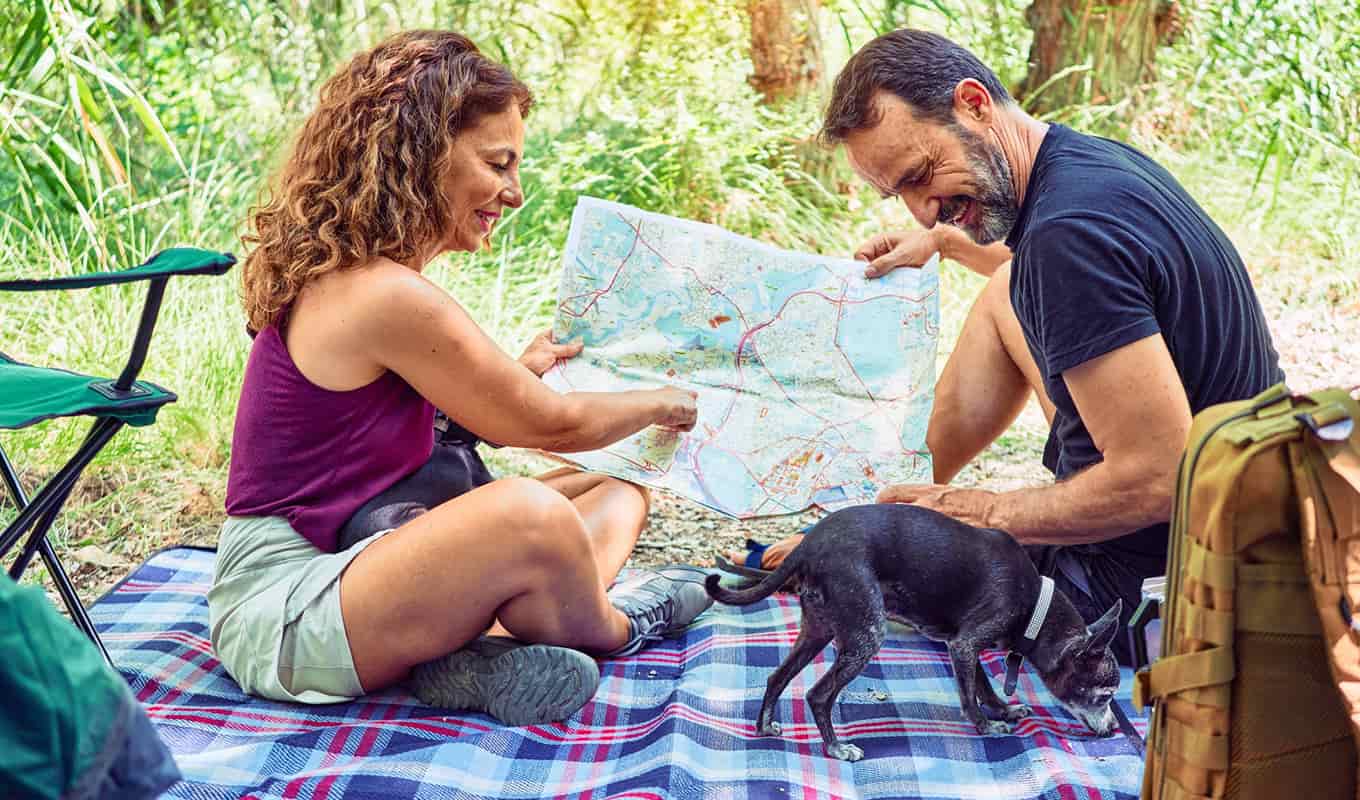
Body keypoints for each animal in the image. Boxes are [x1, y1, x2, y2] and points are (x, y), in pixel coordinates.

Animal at [707, 503, 1120, 761]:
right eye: (1104, 697)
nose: (1116, 728)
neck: (1034, 605)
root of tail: (808, 545)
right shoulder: (965, 644)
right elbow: (970, 698)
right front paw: (987, 726)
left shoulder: (964, 646)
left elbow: (983, 686)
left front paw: (1004, 709)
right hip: (866, 635)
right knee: (818, 695)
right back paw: (837, 749)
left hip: (818, 630)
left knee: (777, 677)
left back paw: (764, 727)